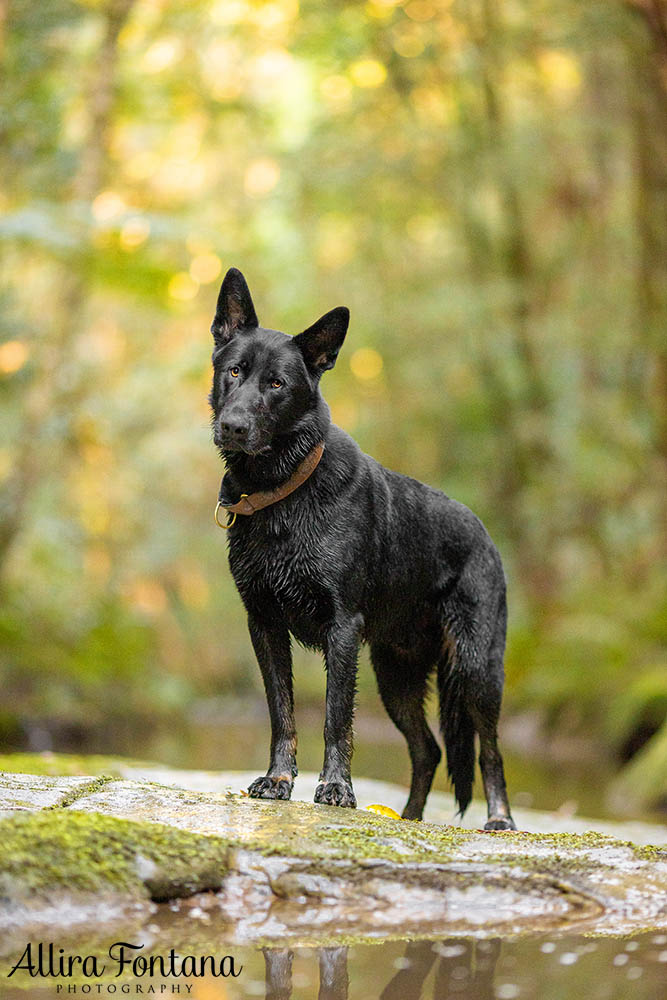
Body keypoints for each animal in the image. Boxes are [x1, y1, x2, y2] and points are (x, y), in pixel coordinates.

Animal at [209, 266, 516, 828]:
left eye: (278, 383)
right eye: (235, 372)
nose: (233, 427)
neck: (284, 492)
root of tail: (483, 534)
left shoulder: (342, 629)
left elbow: (335, 718)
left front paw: (335, 789)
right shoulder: (264, 624)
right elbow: (282, 712)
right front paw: (278, 780)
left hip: (476, 669)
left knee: (489, 749)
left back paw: (500, 820)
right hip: (395, 677)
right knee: (428, 749)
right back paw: (408, 819)